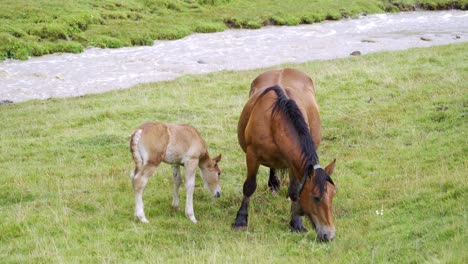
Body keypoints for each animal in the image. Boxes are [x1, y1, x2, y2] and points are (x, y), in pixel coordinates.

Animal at [233, 68, 336, 241]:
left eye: (333, 195)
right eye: (316, 197)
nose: (329, 235)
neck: (274, 120)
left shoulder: (293, 162)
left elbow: (294, 190)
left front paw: (296, 223)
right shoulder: (252, 155)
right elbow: (249, 186)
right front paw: (240, 219)